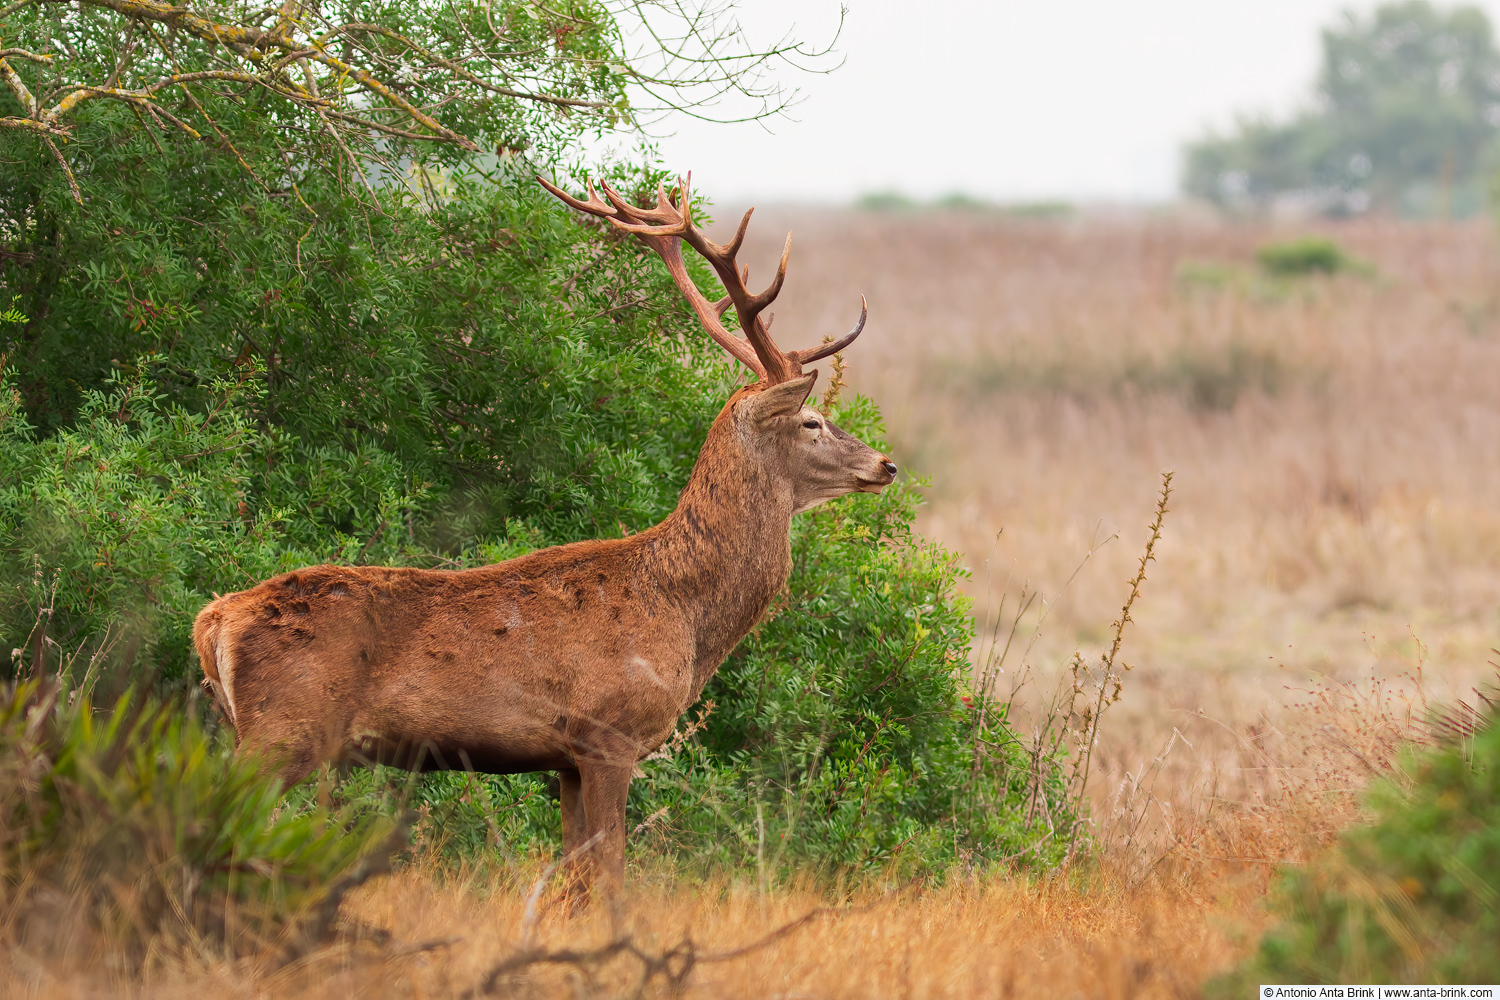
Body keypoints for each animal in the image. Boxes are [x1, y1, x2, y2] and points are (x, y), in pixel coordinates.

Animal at [196, 173, 900, 899]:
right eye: (811, 421)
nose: (885, 464)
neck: (683, 612)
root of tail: (213, 621)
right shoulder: (608, 734)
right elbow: (612, 872)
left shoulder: (563, 759)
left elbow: (575, 877)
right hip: (284, 730)